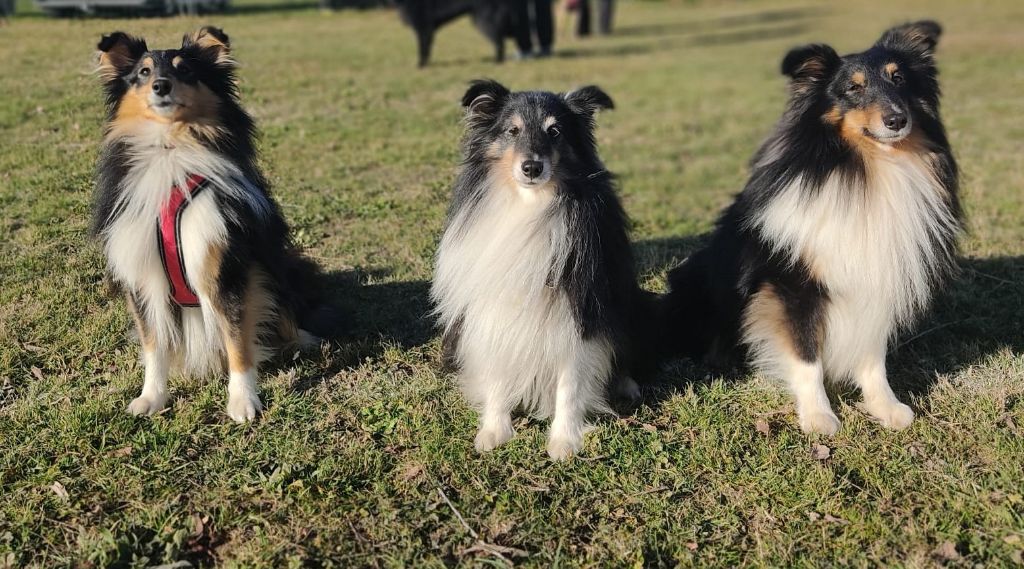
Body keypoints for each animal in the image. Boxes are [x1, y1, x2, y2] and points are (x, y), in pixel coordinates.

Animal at [91, 28, 331, 423]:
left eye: (185, 70)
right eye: (142, 72)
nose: (160, 86)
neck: (171, 147)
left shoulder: (225, 265)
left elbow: (237, 341)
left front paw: (243, 401)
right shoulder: (142, 273)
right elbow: (154, 343)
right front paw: (151, 397)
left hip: (275, 266)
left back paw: (303, 340)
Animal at [393, 0, 528, 66]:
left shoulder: (424, 28)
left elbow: (423, 49)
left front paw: (421, 65)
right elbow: (427, 49)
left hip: (484, 20)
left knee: (499, 42)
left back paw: (497, 61)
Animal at [432, 79, 647, 460]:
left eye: (555, 131)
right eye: (512, 130)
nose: (531, 168)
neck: (530, 206)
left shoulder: (579, 309)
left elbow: (571, 383)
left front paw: (564, 441)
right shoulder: (494, 305)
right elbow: (498, 366)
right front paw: (495, 429)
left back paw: (627, 384)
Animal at [663, 19, 958, 433]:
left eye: (899, 79)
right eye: (853, 88)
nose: (897, 120)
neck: (868, 171)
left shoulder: (877, 277)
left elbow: (872, 354)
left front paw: (886, 407)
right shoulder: (793, 286)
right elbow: (806, 356)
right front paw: (819, 416)